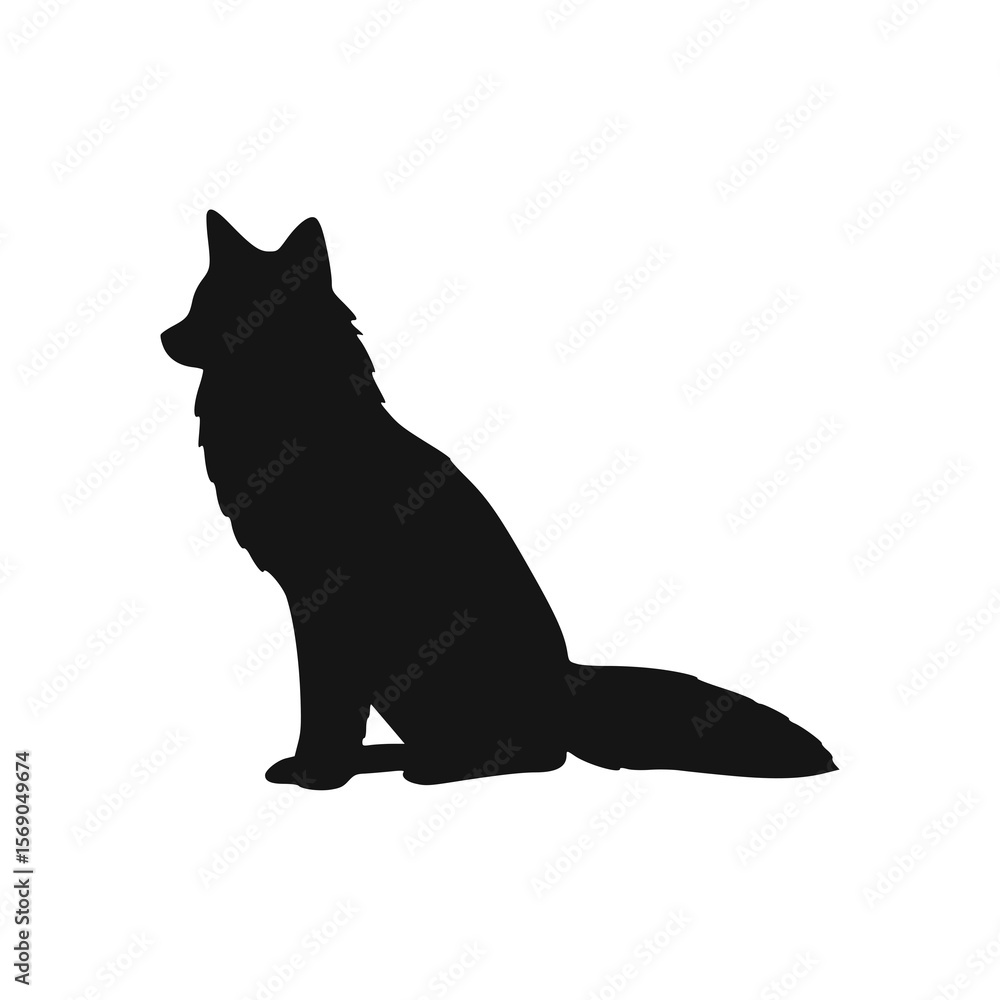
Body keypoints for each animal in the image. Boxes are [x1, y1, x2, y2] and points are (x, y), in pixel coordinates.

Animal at [161, 211, 836, 789]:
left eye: (214, 306)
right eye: (197, 301)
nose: (164, 335)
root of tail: (565, 684)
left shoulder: (326, 601)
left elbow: (326, 704)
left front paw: (318, 774)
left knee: (540, 755)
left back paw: (436, 769)